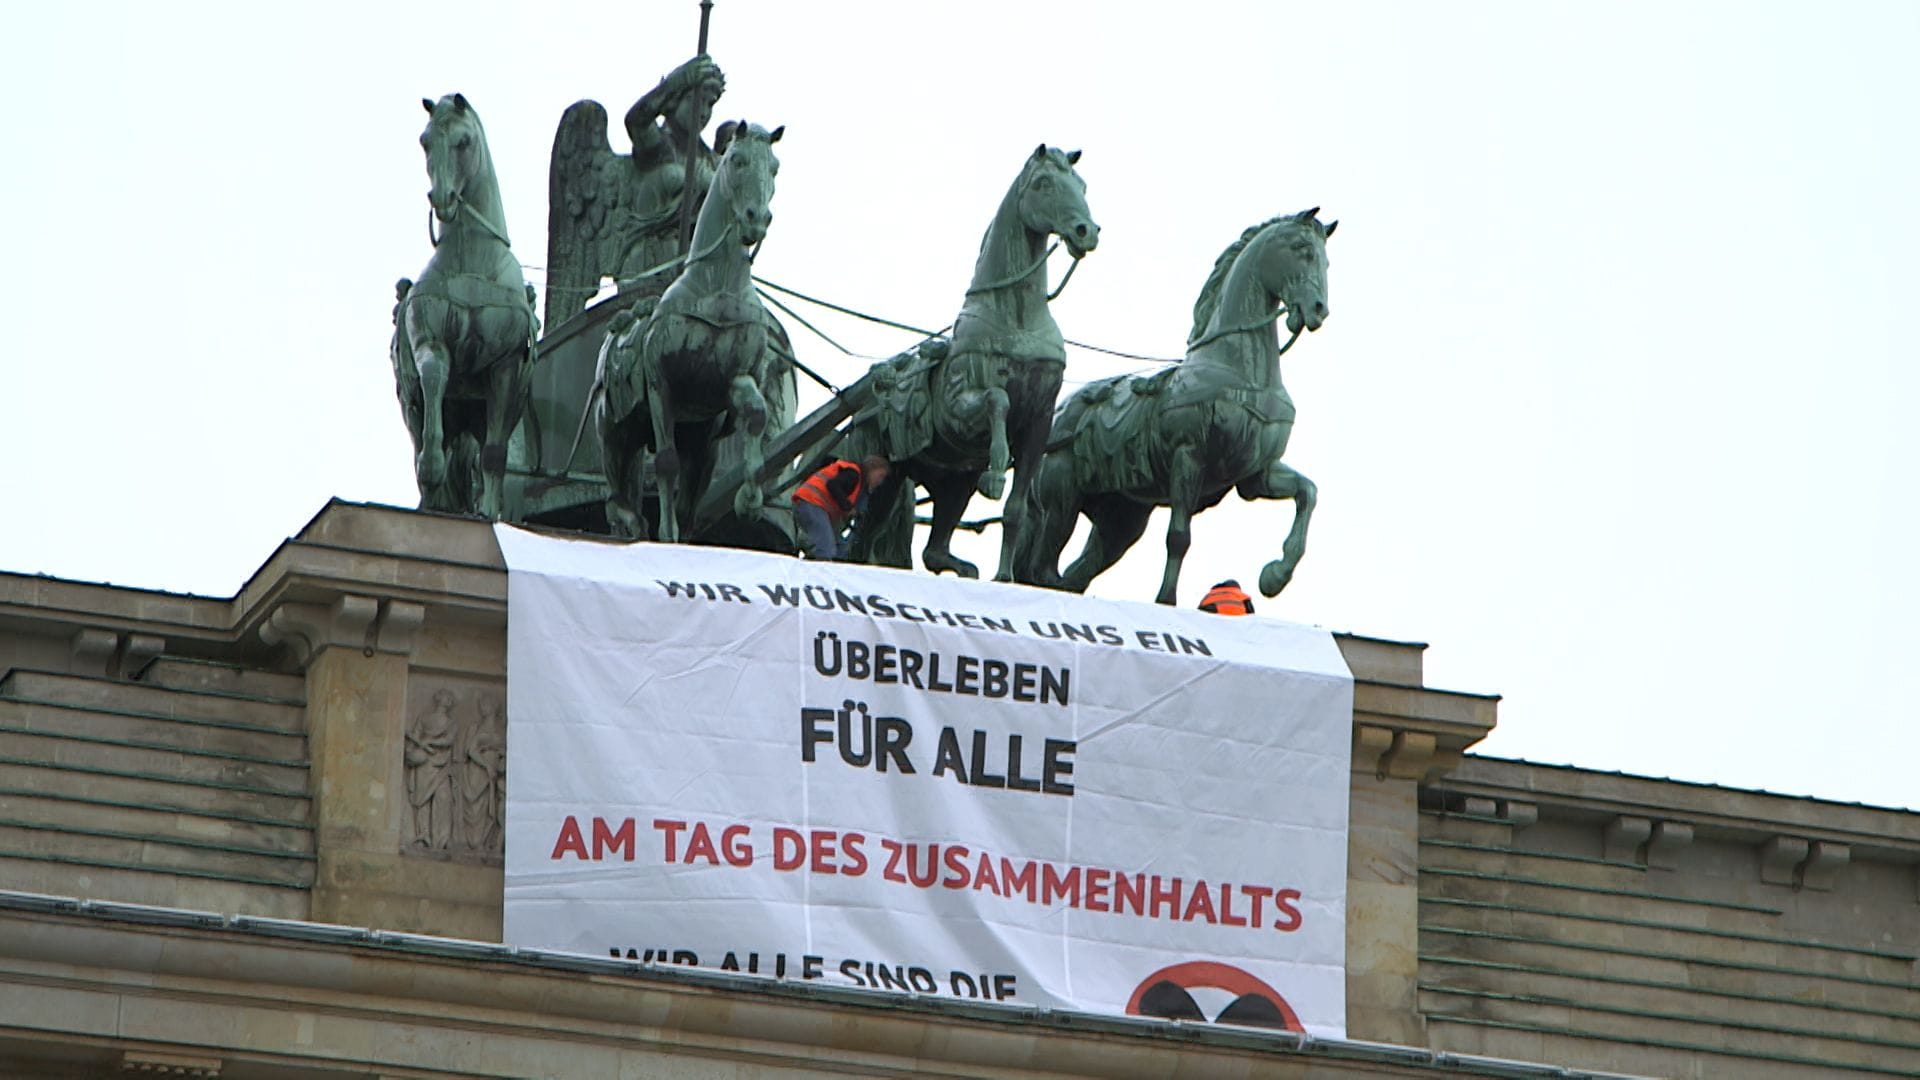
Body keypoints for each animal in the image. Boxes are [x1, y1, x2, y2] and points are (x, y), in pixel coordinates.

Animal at [389, 93, 537, 518]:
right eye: (425, 141)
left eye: (464, 142)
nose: (442, 200)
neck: (472, 261)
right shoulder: (432, 344)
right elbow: (434, 378)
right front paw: (432, 468)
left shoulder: (505, 366)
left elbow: (494, 453)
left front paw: (487, 512)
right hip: (412, 406)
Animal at [587, 119, 791, 538]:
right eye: (737, 159)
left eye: (775, 167)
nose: (756, 219)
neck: (717, 287)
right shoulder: (660, 386)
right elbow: (666, 463)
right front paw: (667, 535)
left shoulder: (732, 383)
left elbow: (757, 414)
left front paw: (749, 499)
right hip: (615, 434)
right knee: (617, 493)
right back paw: (632, 523)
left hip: (701, 446)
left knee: (686, 494)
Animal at [852, 148, 1105, 580]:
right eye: (1043, 184)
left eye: (1082, 185)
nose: (1086, 231)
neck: (1018, 318)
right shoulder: (958, 406)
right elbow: (996, 399)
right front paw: (997, 469)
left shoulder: (1039, 423)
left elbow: (1015, 510)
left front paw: (1004, 577)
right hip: (881, 475)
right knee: (861, 538)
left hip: (951, 482)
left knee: (932, 550)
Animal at [1021, 205, 1336, 599]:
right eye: (1300, 249)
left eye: (1326, 261)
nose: (1319, 309)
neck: (1241, 373)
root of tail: (1057, 415)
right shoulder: (1189, 457)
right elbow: (1179, 536)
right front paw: (1166, 600)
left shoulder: (1256, 474)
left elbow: (1308, 492)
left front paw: (1275, 575)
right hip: (1060, 500)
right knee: (1040, 569)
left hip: (1120, 520)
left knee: (1074, 573)